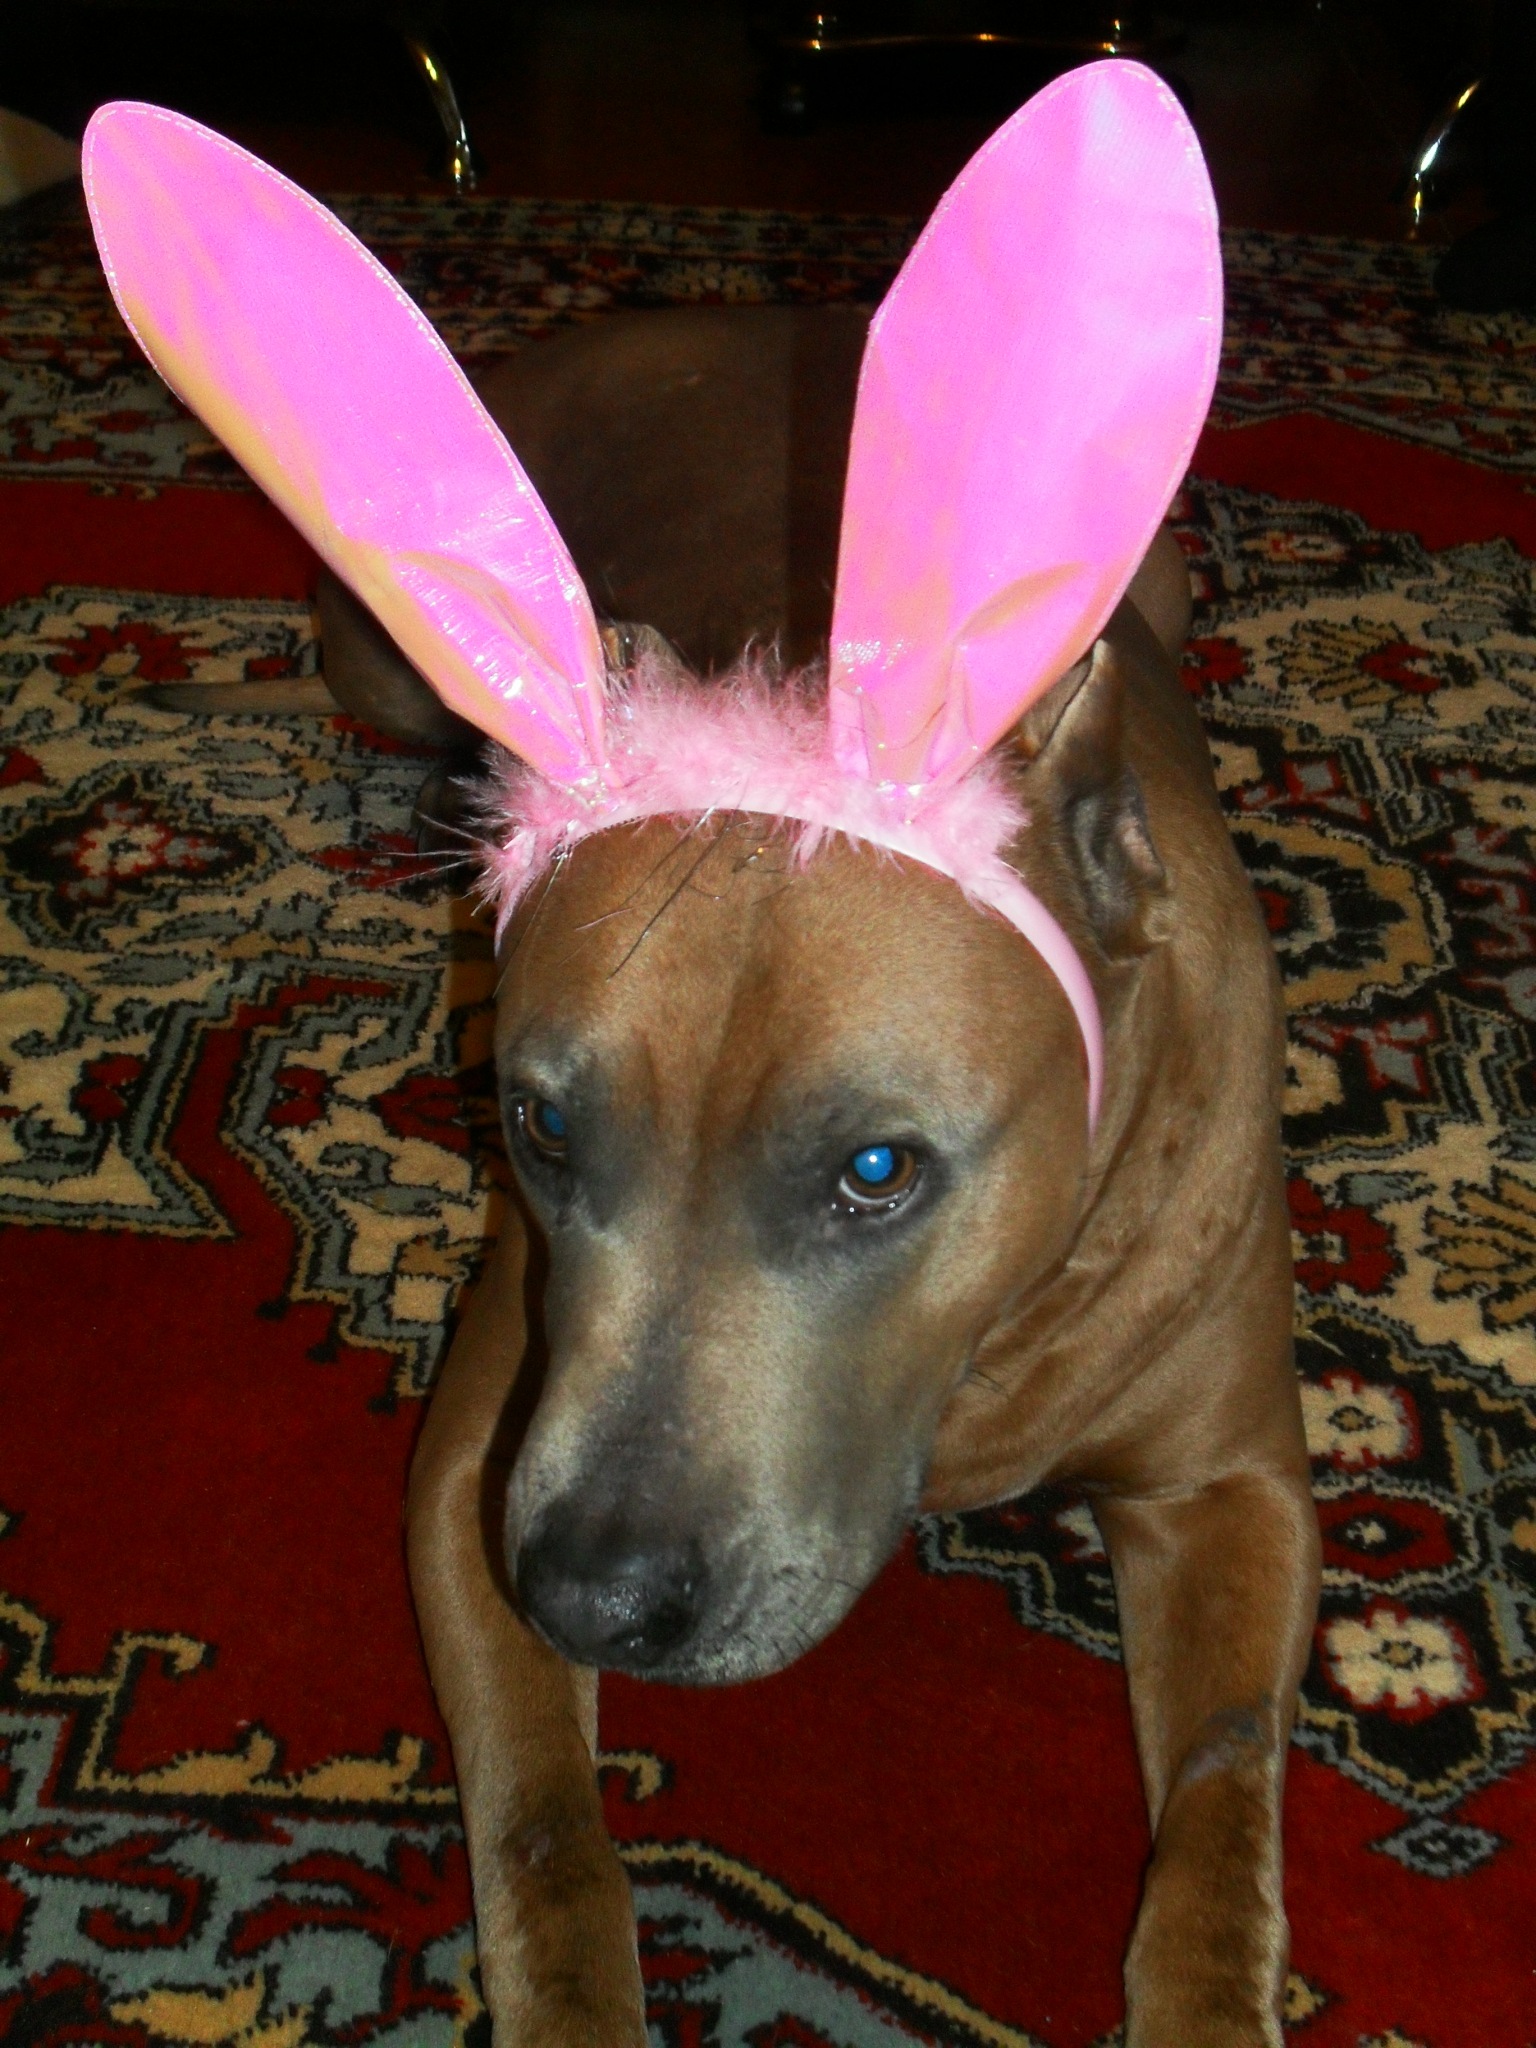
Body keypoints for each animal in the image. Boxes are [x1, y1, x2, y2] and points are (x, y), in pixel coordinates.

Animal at [85, 67, 1322, 2048]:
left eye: (877, 1170)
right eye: (532, 1122)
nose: (592, 1591)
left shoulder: (1232, 1488)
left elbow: (1219, 1803)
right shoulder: (478, 1465)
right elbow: (539, 1821)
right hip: (387, 645)